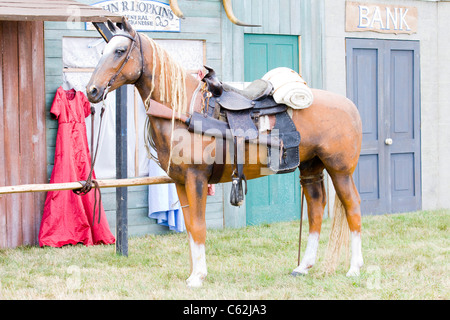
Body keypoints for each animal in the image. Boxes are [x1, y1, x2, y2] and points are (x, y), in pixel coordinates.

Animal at [86, 16, 364, 288]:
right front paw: (194, 273)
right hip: (311, 167)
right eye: (102, 51)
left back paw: (354, 268)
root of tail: (350, 106)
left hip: (340, 170)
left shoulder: (196, 178)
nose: (92, 90)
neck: (184, 110)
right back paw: (303, 267)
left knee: (353, 207)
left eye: (120, 51)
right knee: (316, 210)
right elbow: (190, 227)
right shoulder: (180, 181)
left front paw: (198, 277)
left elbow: (199, 226)